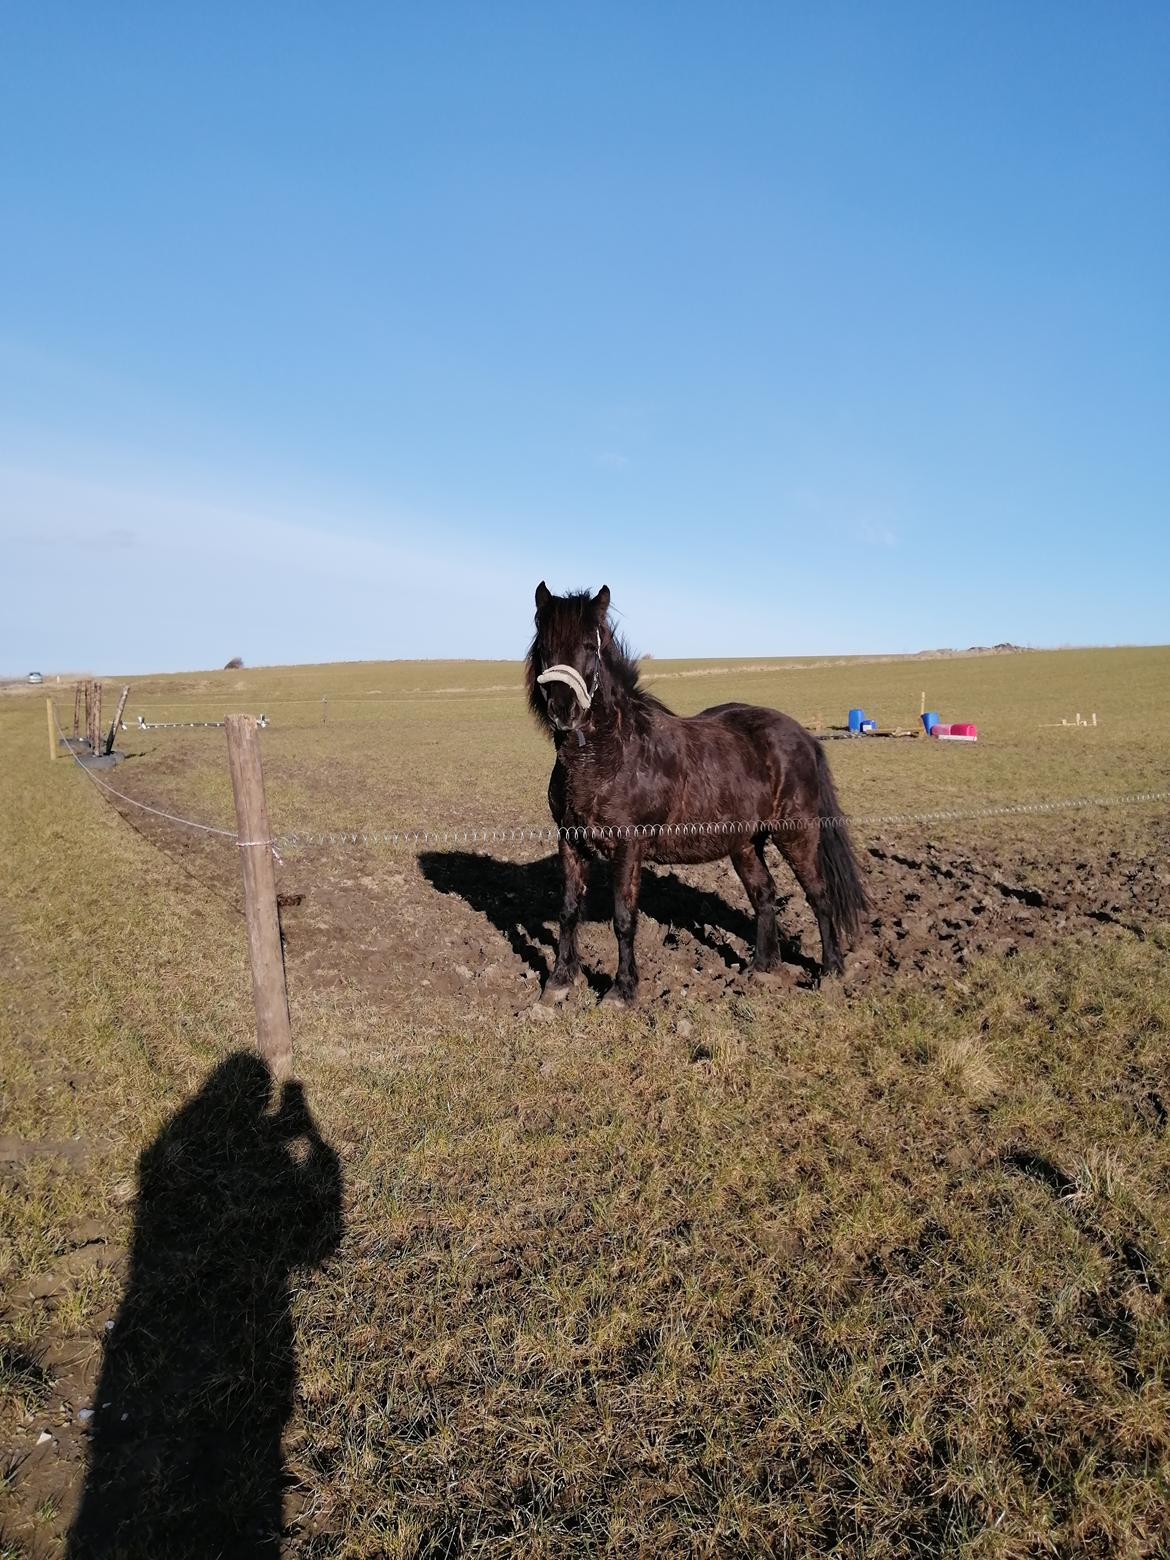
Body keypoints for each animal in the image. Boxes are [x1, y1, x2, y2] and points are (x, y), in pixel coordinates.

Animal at [530, 580, 873, 1004]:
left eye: (590, 646)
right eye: (544, 646)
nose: (564, 710)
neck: (607, 756)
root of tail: (804, 737)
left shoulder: (628, 846)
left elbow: (624, 917)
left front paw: (622, 991)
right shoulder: (570, 840)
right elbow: (568, 909)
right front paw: (559, 981)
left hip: (798, 833)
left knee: (819, 894)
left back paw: (831, 971)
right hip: (745, 844)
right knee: (764, 894)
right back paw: (762, 968)